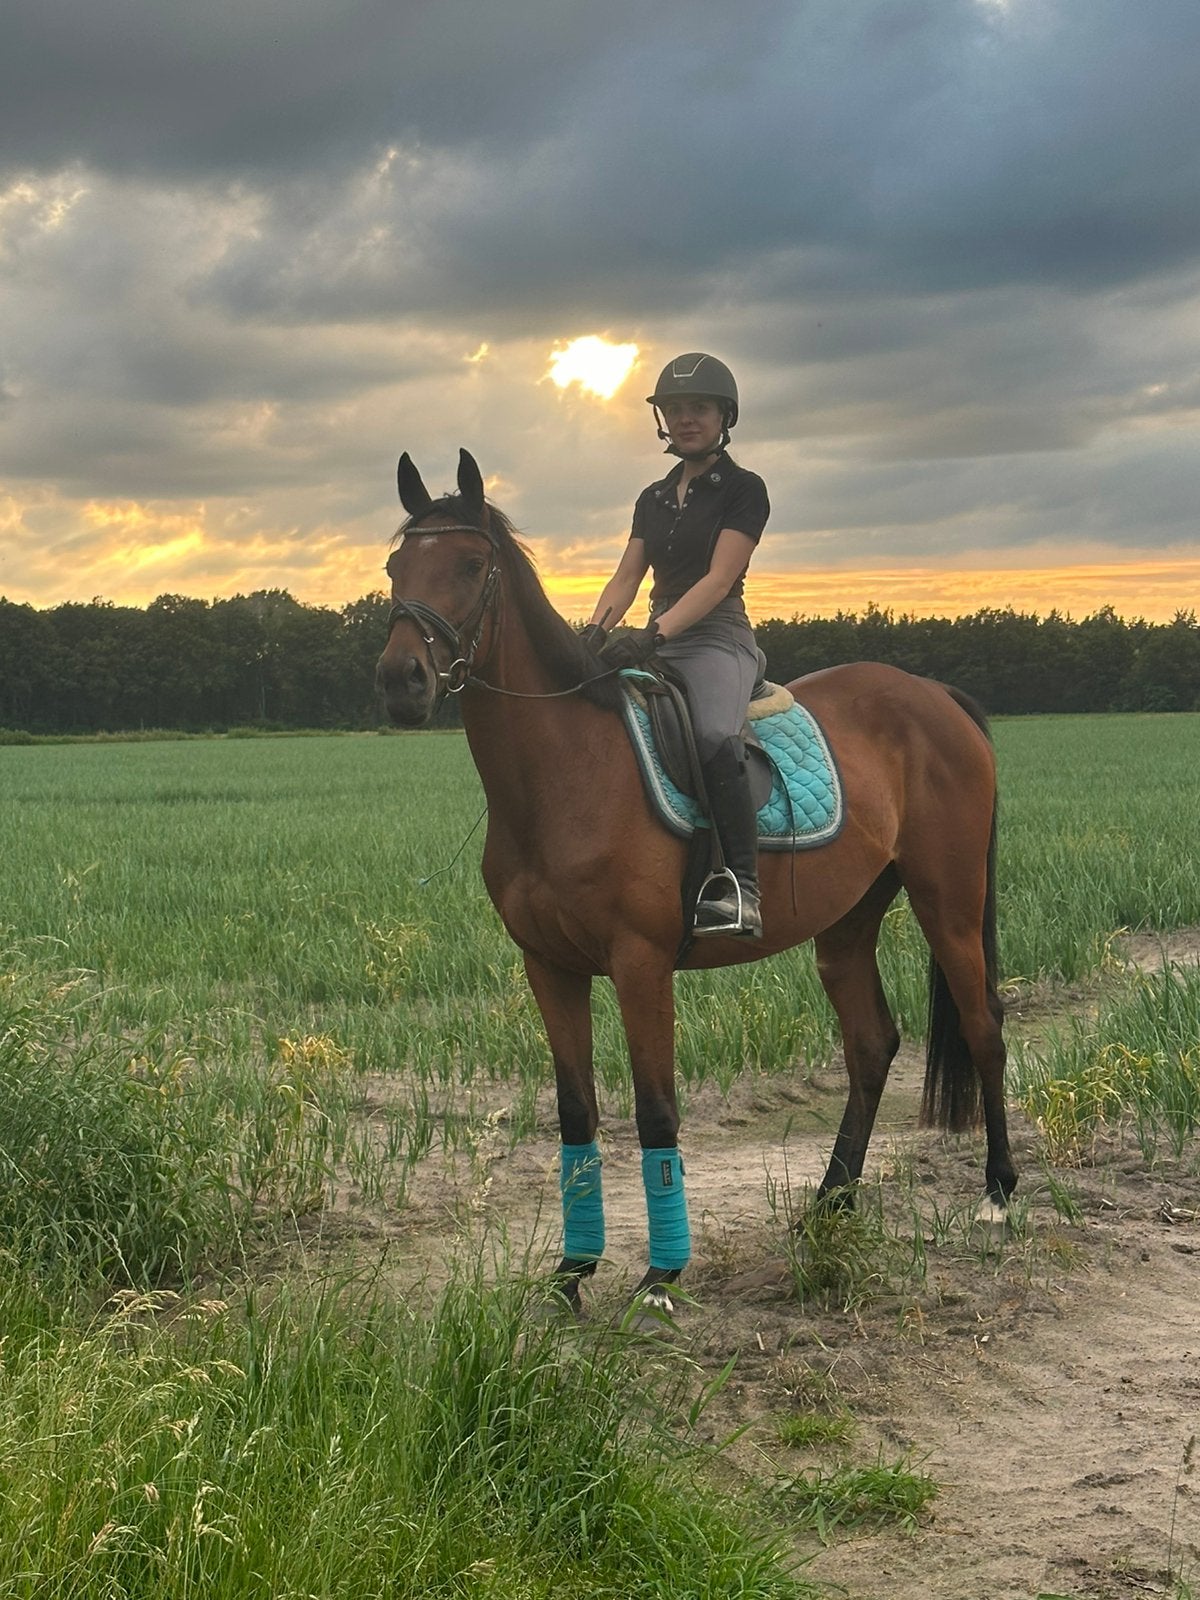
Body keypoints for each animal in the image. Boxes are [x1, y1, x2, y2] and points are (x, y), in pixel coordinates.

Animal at [376, 448, 1015, 1316]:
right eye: (395, 566)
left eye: (472, 565)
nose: (401, 680)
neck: (564, 770)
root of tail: (934, 696)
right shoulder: (549, 966)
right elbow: (576, 1111)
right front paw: (572, 1272)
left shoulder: (641, 964)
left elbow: (656, 1111)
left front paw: (659, 1278)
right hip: (848, 920)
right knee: (871, 1044)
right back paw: (831, 1202)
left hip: (948, 903)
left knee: (983, 1027)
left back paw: (998, 1193)